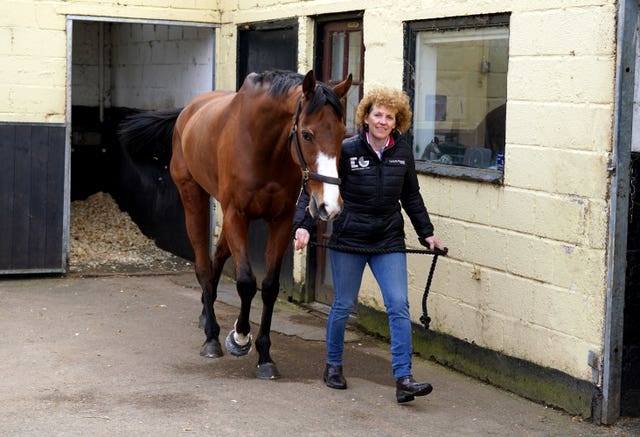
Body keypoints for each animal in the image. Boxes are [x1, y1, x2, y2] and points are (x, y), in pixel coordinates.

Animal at [119, 70, 350, 378]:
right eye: (307, 134)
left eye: (342, 133)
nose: (329, 206)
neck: (263, 145)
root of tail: (188, 111)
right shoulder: (235, 215)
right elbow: (246, 283)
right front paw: (239, 337)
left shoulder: (280, 221)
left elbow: (270, 287)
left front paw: (265, 355)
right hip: (195, 198)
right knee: (204, 266)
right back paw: (211, 335)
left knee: (217, 257)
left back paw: (206, 314)